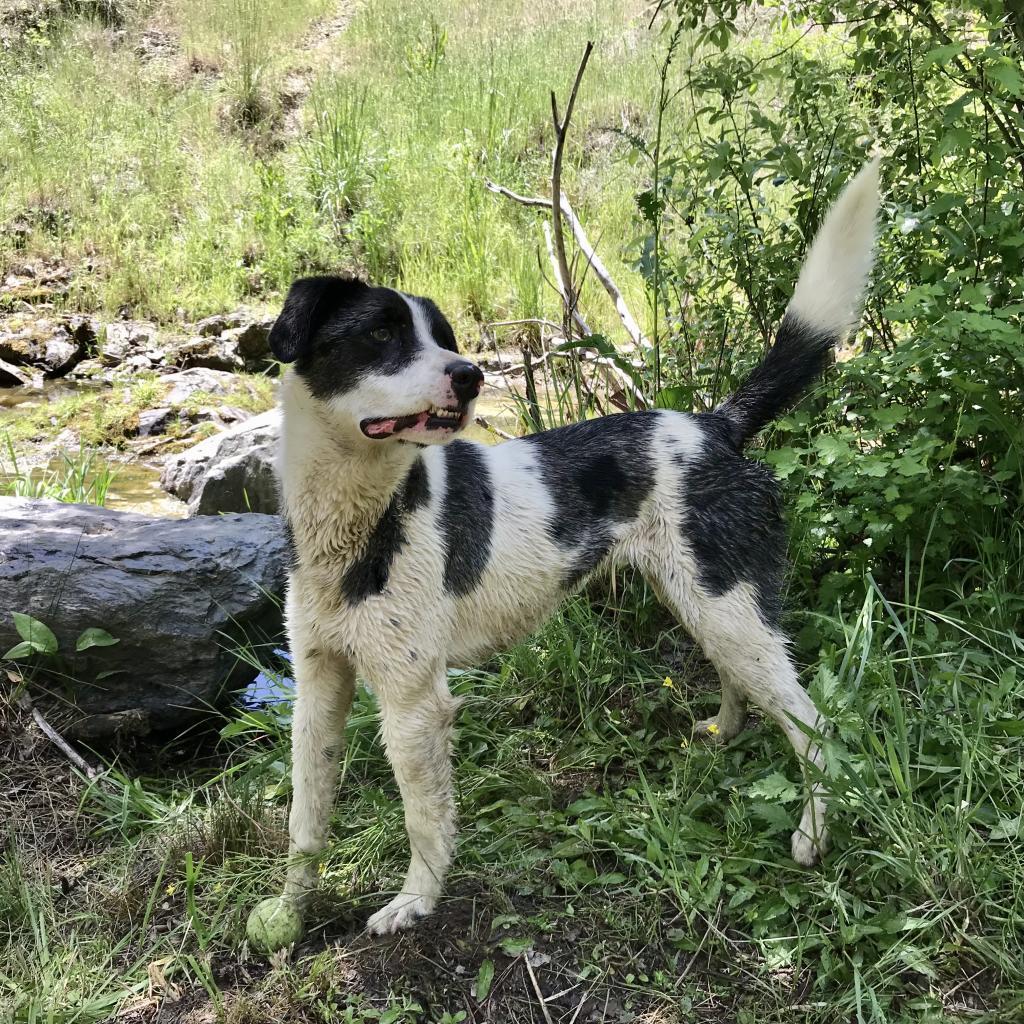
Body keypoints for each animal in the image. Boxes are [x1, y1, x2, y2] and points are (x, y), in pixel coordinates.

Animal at [256, 159, 880, 937]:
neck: (357, 520)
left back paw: (813, 835)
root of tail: (716, 425)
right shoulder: (318, 683)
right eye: (379, 333)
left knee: (819, 728)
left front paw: (415, 902)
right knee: (741, 680)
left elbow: (424, 821)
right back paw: (725, 732)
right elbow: (304, 820)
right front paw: (289, 911)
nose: (469, 374)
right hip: (703, 604)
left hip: (729, 609)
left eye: (442, 335)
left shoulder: (414, 702)